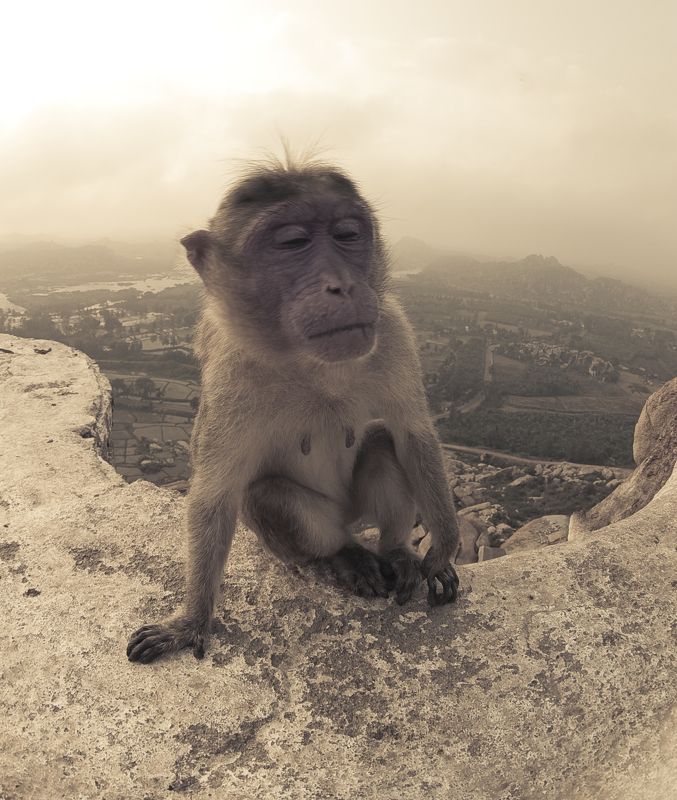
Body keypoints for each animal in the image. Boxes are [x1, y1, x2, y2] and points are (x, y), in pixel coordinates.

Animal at [127, 156, 460, 664]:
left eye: (347, 234)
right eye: (291, 243)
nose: (343, 285)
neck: (311, 363)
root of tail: (348, 519)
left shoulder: (393, 330)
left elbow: (412, 433)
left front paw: (442, 545)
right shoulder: (230, 373)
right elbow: (216, 494)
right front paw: (190, 620)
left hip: (356, 502)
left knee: (383, 444)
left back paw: (394, 551)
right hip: (321, 520)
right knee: (268, 496)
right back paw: (343, 555)